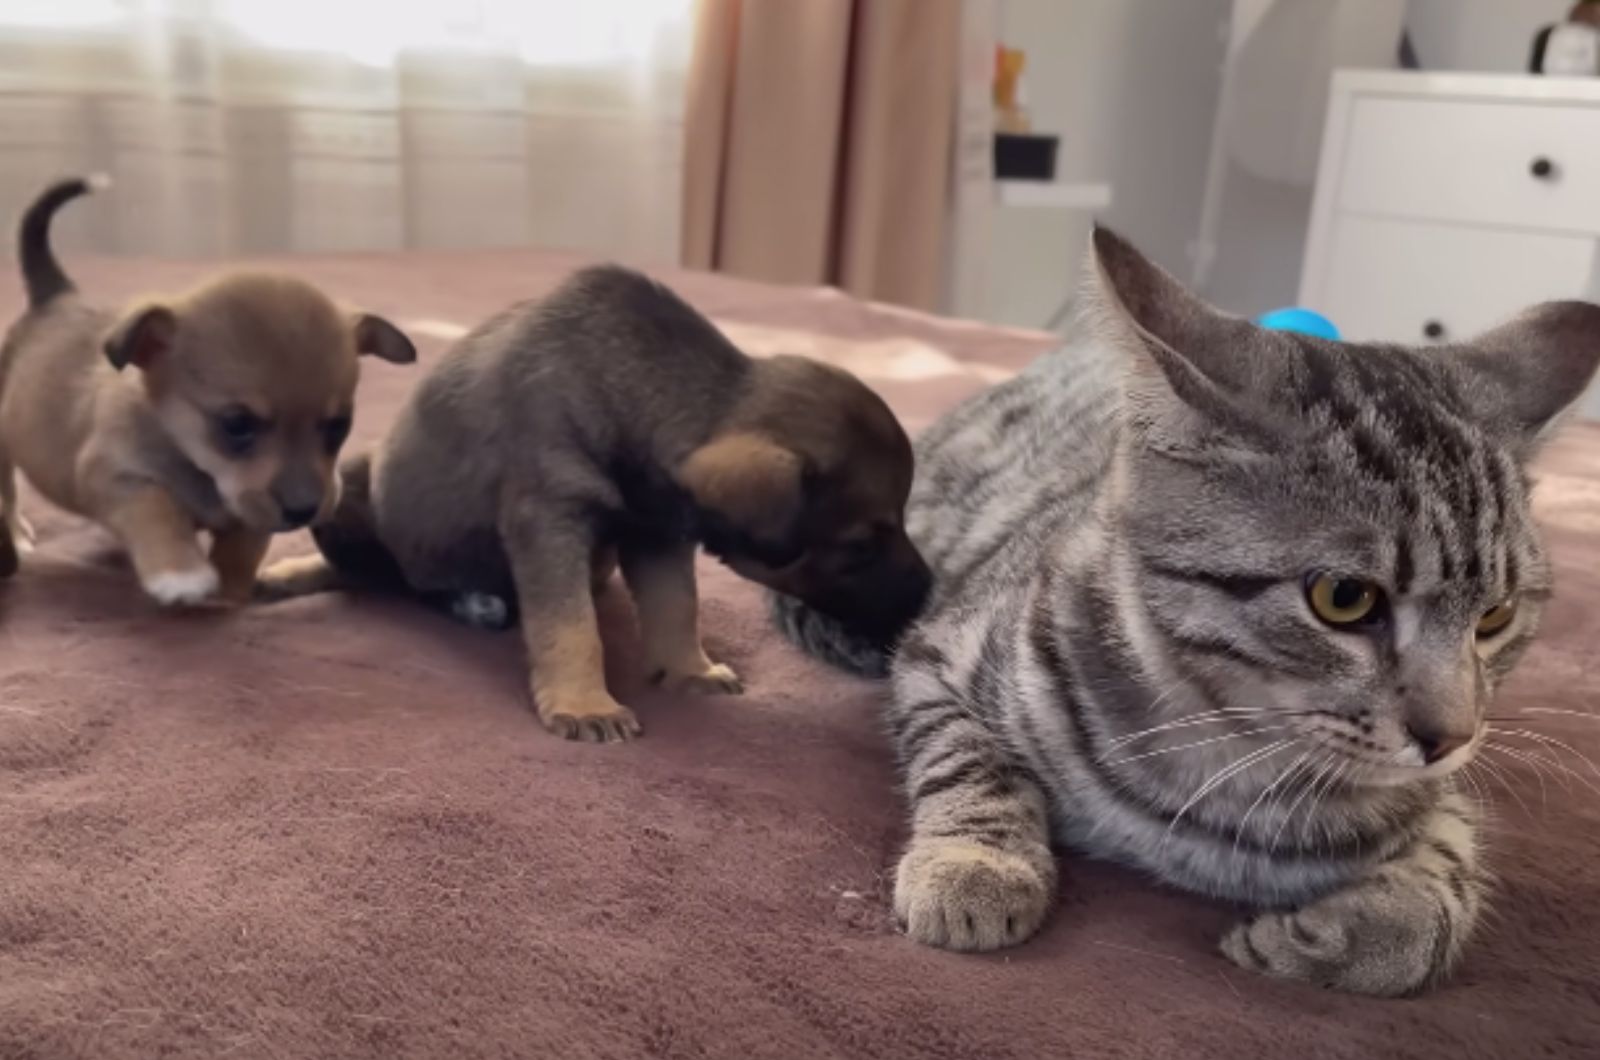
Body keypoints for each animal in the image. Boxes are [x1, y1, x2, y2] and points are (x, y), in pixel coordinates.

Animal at [0, 180, 419, 605]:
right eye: (236, 424)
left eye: (339, 425)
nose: (304, 510)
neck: (201, 471)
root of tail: (55, 295)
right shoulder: (115, 478)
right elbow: (155, 507)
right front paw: (179, 571)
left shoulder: (253, 511)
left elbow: (246, 540)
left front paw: (232, 584)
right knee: (8, 488)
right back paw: (15, 535)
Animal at [260, 265, 934, 742]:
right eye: (860, 544)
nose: (929, 591)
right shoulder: (549, 520)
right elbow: (572, 626)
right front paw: (586, 705)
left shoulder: (657, 535)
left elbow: (676, 607)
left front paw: (689, 670)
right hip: (349, 487)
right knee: (390, 577)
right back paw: (462, 599)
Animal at [774, 228, 1600, 999]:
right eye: (1345, 598)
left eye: (1495, 617)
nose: (1450, 737)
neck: (1233, 770)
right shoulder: (939, 658)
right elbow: (969, 758)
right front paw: (977, 863)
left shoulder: (1439, 803)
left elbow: (1438, 894)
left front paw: (1334, 937)